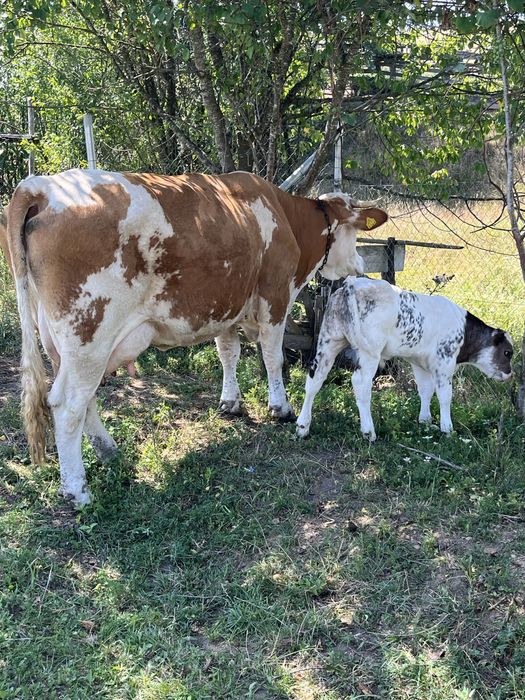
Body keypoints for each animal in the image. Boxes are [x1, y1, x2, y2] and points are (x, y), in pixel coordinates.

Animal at [1, 169, 388, 503]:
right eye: (355, 233)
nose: (359, 266)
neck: (286, 218)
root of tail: (40, 186)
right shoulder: (275, 297)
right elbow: (272, 356)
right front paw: (280, 407)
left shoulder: (227, 306)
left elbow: (228, 353)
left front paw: (231, 402)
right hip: (89, 334)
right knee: (67, 404)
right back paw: (78, 490)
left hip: (62, 342)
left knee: (83, 399)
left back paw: (108, 451)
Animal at [296, 276, 513, 440]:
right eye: (507, 352)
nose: (510, 374)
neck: (464, 329)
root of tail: (352, 284)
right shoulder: (444, 362)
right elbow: (445, 396)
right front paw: (447, 428)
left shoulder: (420, 363)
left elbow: (425, 390)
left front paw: (425, 420)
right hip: (369, 353)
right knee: (360, 384)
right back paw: (368, 431)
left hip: (329, 341)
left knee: (315, 379)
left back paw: (302, 427)